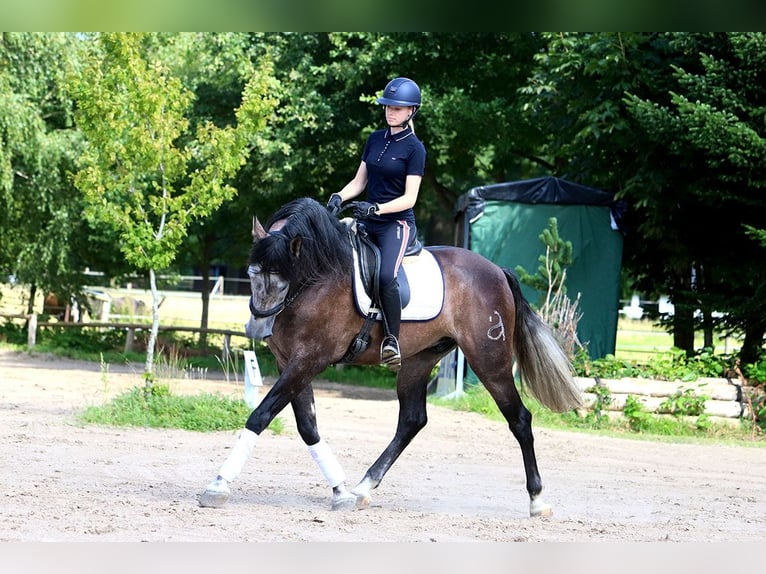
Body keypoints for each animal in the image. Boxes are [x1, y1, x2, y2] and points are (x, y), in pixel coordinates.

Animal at [199, 197, 582, 517]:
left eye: (282, 280)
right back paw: (362, 488)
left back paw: (537, 501)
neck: (317, 278)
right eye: (251, 274)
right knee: (412, 420)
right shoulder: (291, 362)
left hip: (490, 361)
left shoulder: (309, 359)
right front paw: (340, 491)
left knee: (520, 419)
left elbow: (260, 416)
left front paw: (218, 485)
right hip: (418, 360)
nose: (256, 329)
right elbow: (307, 426)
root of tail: (497, 271)